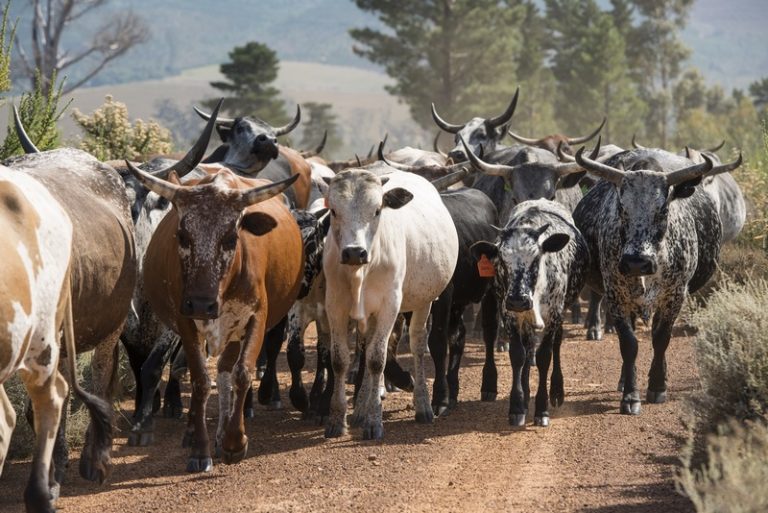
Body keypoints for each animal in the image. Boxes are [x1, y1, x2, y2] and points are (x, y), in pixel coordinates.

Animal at [128, 159, 303, 472]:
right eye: (183, 236)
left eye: (231, 238)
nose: (201, 304)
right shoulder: (185, 323)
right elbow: (199, 380)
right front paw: (200, 448)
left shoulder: (256, 318)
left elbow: (241, 374)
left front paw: (234, 442)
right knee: (214, 372)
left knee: (225, 371)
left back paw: (223, 434)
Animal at [322, 168, 458, 440]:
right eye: (333, 210)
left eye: (377, 210)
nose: (354, 252)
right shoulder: (335, 304)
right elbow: (341, 360)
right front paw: (337, 421)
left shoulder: (390, 306)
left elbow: (377, 359)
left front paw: (374, 422)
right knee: (366, 347)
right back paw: (360, 408)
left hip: (423, 301)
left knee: (417, 344)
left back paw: (423, 405)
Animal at [471, 199, 588, 426]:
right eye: (502, 260)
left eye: (536, 258)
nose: (518, 300)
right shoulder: (510, 315)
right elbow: (518, 355)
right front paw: (517, 407)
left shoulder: (554, 313)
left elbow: (544, 356)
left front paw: (542, 409)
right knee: (524, 346)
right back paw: (521, 395)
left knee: (556, 344)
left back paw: (556, 392)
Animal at [572, 143, 742, 414]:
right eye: (621, 208)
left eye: (662, 210)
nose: (636, 262)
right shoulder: (616, 296)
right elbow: (629, 344)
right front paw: (631, 396)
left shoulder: (675, 295)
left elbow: (661, 339)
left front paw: (658, 386)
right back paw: (624, 380)